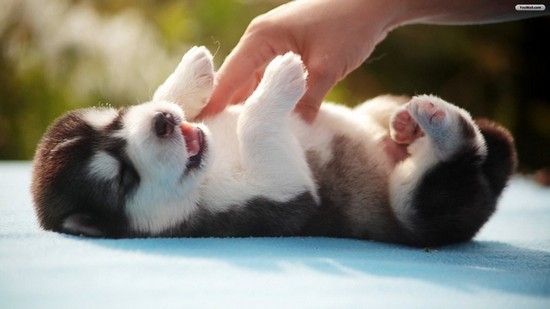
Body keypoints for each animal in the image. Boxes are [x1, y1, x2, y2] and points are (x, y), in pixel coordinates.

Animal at [32, 46, 520, 245]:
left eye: (116, 119)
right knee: (454, 168)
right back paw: (442, 127)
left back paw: (408, 119)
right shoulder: (282, 195)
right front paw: (280, 78)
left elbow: (172, 91)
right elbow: (254, 126)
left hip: (379, 112)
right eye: (124, 179)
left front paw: (189, 76)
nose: (164, 123)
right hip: (415, 209)